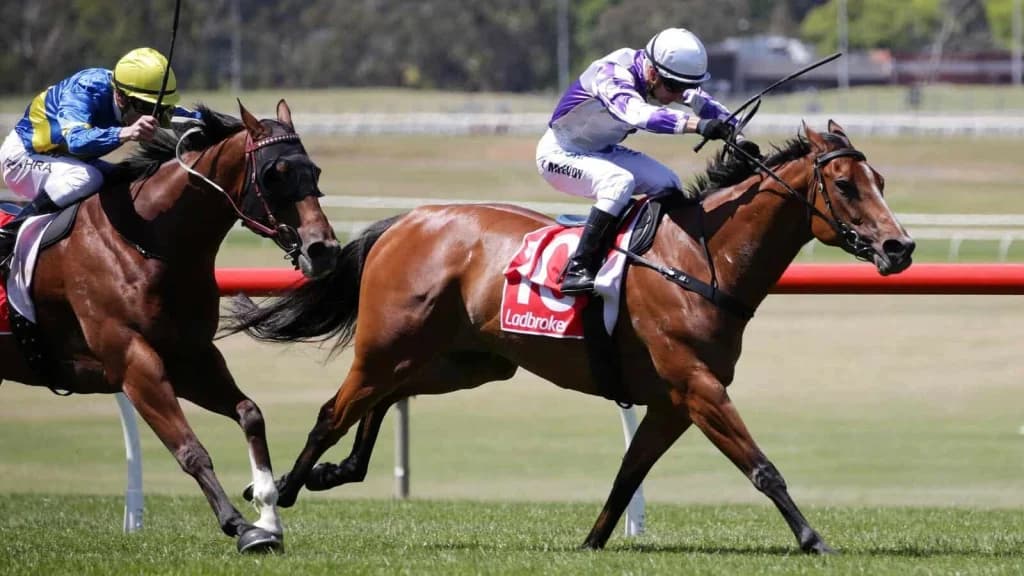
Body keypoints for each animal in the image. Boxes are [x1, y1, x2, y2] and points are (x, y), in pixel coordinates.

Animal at [0, 100, 339, 553]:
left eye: (314, 171)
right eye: (274, 174)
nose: (323, 250)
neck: (148, 239)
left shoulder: (191, 355)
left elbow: (249, 413)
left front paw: (267, 514)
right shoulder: (132, 360)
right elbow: (190, 449)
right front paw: (240, 526)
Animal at [228, 120, 914, 554]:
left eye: (882, 180)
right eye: (846, 185)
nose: (899, 247)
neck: (702, 257)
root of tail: (406, 221)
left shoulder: (673, 402)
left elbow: (628, 475)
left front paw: (592, 541)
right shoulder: (697, 387)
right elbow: (763, 467)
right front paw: (813, 538)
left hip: (464, 360)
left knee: (379, 402)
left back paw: (335, 472)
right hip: (389, 345)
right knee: (333, 410)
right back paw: (281, 492)